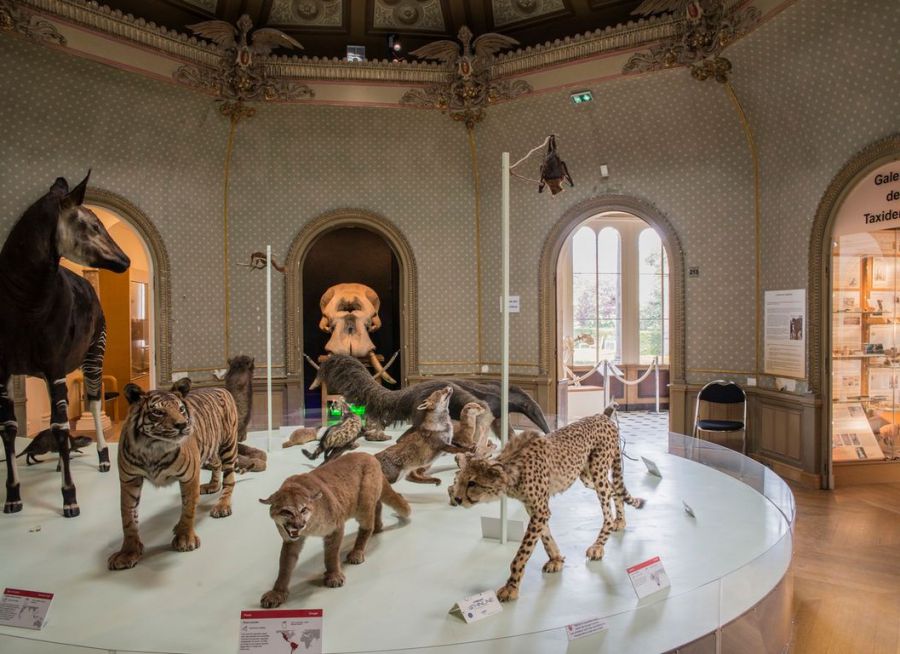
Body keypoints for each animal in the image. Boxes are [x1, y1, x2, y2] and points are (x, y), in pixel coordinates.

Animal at [107, 374, 241, 576]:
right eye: (158, 412)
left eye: (181, 409)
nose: (183, 425)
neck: (152, 448)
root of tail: (221, 388)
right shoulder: (129, 480)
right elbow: (128, 517)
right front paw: (128, 553)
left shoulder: (190, 476)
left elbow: (188, 509)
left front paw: (185, 538)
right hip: (210, 450)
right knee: (216, 465)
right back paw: (212, 485)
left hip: (228, 445)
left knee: (230, 479)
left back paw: (222, 505)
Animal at [448, 410, 644, 604]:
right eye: (460, 480)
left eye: (472, 483)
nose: (457, 498)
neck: (512, 473)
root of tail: (602, 416)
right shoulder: (535, 509)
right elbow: (546, 537)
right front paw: (556, 559)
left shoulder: (540, 510)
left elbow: (522, 554)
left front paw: (511, 587)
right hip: (587, 476)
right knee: (614, 489)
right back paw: (620, 521)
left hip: (598, 471)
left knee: (608, 505)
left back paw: (599, 545)